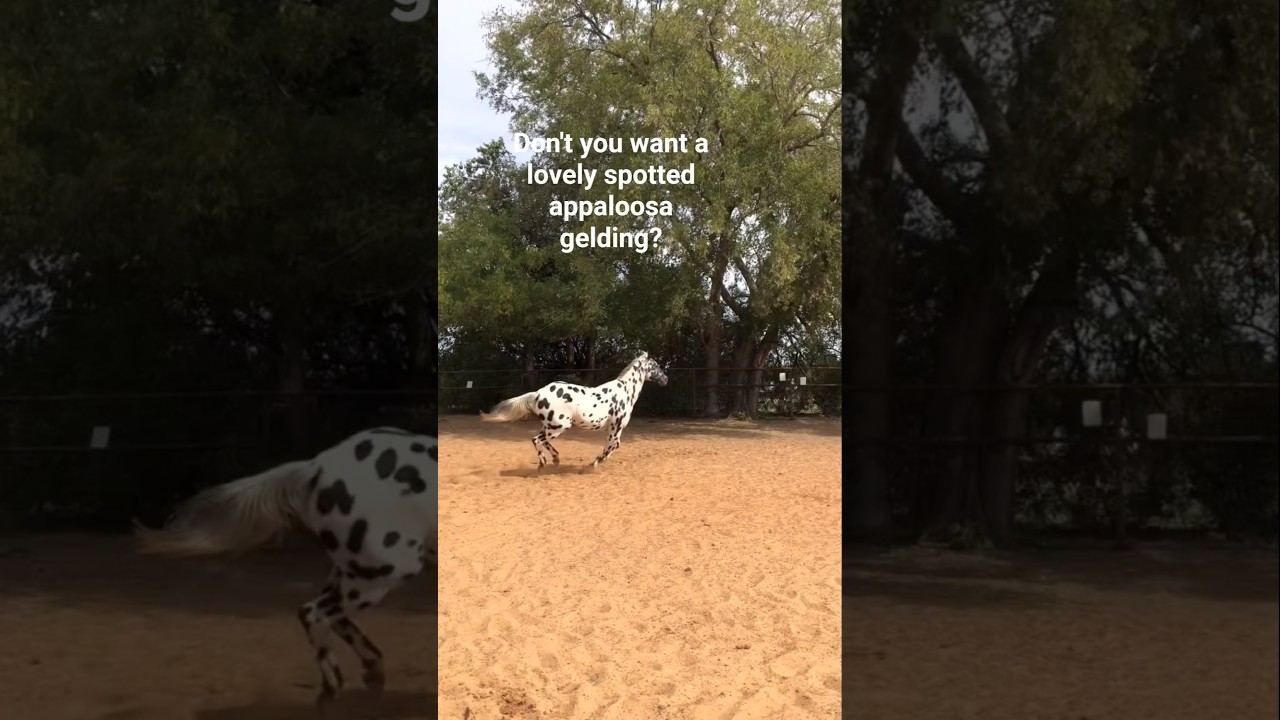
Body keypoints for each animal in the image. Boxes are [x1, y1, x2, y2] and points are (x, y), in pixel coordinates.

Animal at [133, 427, 437, 707]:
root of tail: (319, 467)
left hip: (352, 570)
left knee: (334, 617)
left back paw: (368, 674)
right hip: (384, 570)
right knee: (313, 613)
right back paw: (333, 686)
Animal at [480, 351, 668, 469]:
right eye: (656, 365)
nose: (666, 379)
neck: (625, 391)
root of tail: (538, 393)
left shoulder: (613, 429)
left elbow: (612, 446)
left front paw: (601, 460)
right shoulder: (616, 427)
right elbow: (613, 445)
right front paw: (595, 463)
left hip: (550, 426)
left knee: (542, 441)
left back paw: (556, 459)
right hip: (559, 426)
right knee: (536, 440)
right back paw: (543, 463)